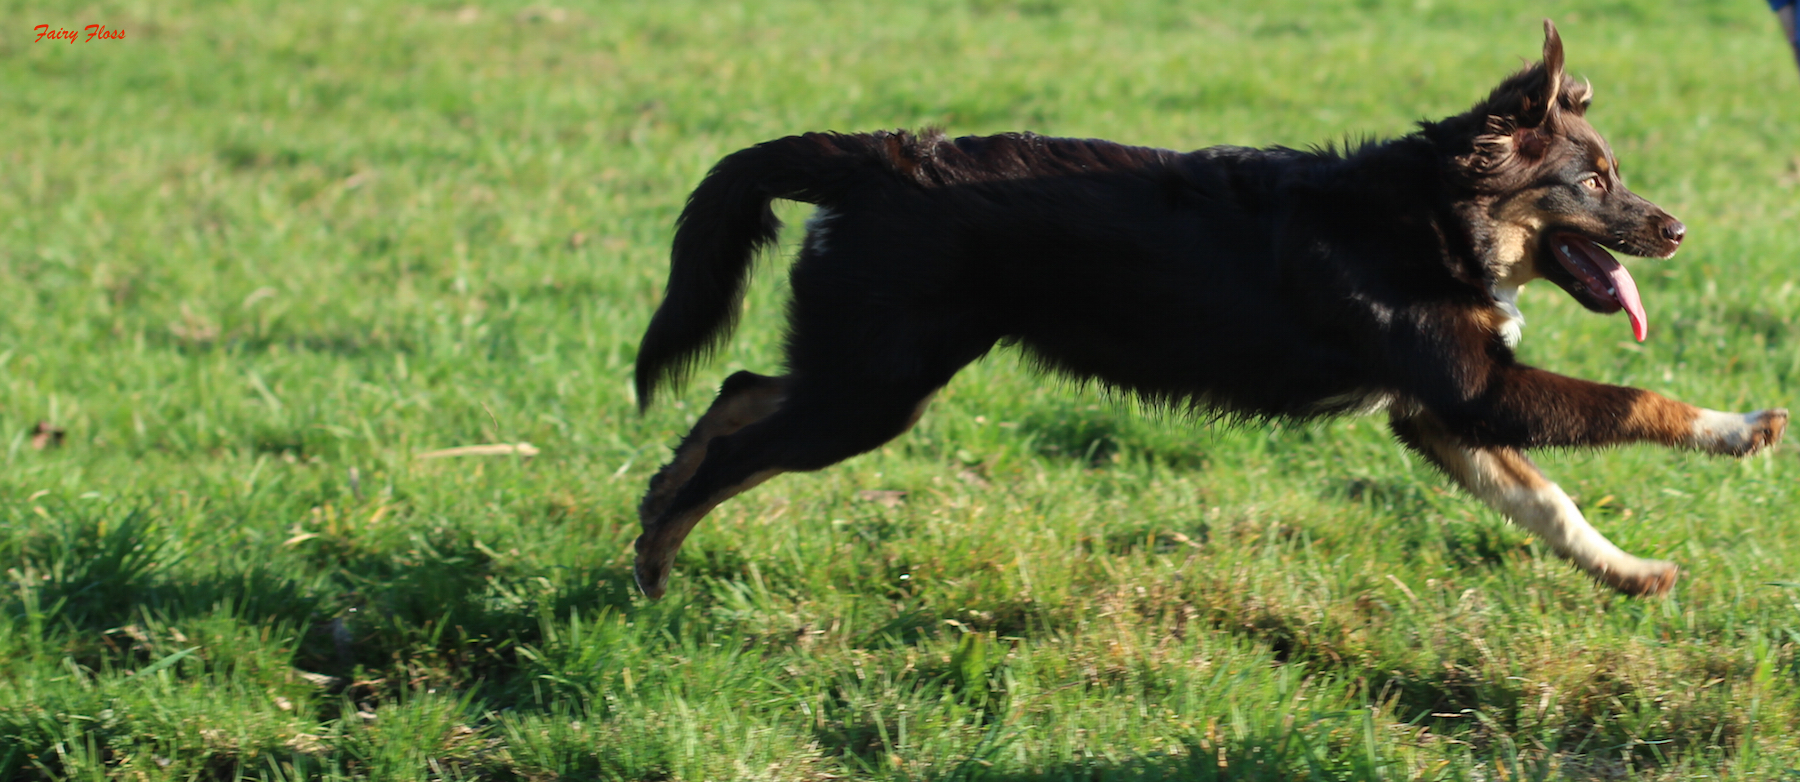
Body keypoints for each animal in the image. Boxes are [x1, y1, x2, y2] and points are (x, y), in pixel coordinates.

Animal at [633, 22, 1785, 598]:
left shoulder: (1438, 412)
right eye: (1595, 179)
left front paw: (1629, 572)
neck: (1428, 220)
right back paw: (653, 561)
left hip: (869, 369)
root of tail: (869, 159)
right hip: (876, 384)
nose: (1678, 229)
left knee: (739, 390)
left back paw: (660, 491)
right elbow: (1634, 399)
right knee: (741, 445)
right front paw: (1742, 427)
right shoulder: (1476, 393)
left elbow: (1551, 505)